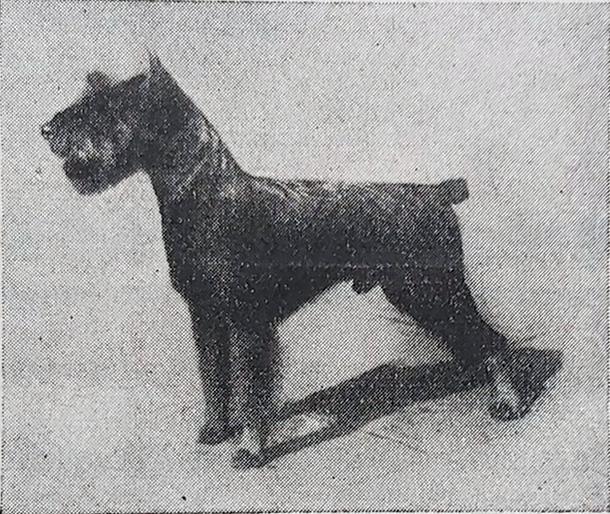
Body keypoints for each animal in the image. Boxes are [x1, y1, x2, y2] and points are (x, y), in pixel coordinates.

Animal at [42, 55, 524, 468]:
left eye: (105, 107)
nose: (46, 128)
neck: (204, 196)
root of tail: (439, 192)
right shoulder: (206, 316)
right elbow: (214, 377)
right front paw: (214, 431)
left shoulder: (249, 321)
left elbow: (251, 390)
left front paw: (249, 451)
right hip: (420, 294)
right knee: (471, 341)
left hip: (430, 290)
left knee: (492, 342)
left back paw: (507, 402)